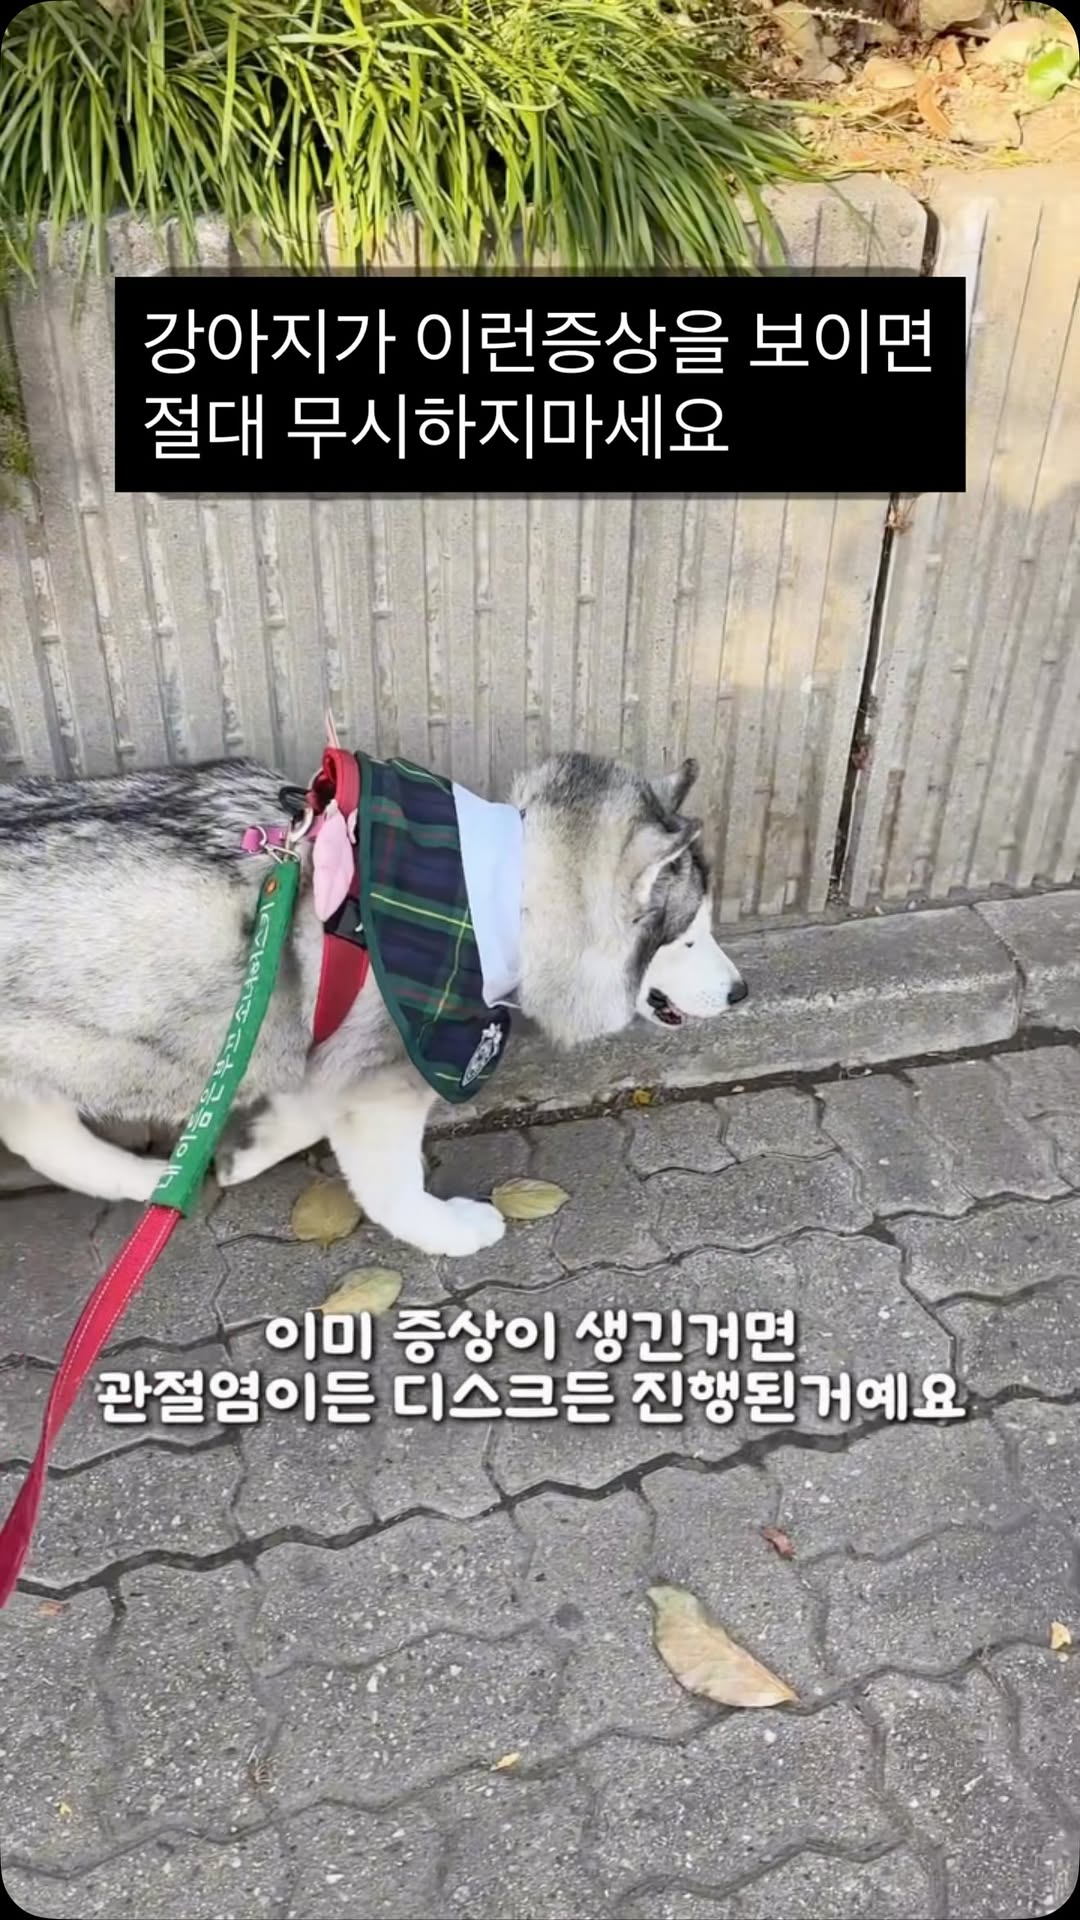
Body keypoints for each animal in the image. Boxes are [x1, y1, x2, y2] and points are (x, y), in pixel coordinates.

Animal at [0, 751, 746, 1258]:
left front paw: (249, 1150)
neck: (495, 896)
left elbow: (302, 1109)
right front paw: (446, 1229)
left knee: (38, 1133)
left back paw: (149, 1179)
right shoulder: (384, 1075)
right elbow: (391, 1183)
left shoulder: (330, 1047)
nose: (742, 991)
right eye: (686, 936)